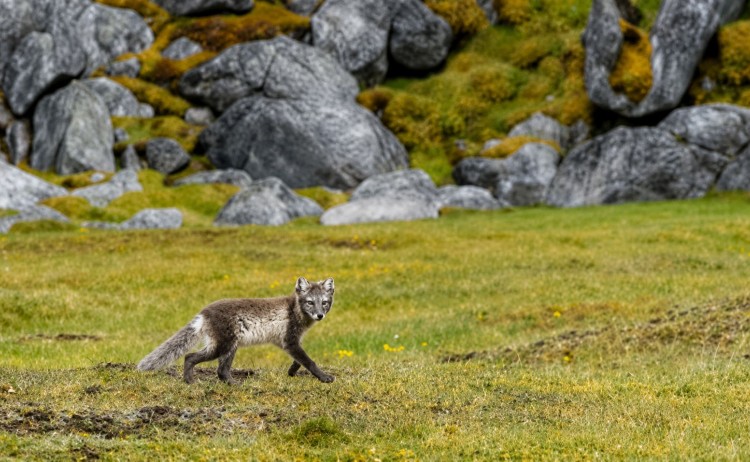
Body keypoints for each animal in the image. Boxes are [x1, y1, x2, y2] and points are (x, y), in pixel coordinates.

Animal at [137, 277, 335, 384]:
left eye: (324, 303)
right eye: (310, 302)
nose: (320, 315)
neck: (294, 310)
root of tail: (204, 312)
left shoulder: (289, 342)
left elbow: (299, 361)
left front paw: (292, 372)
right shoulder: (289, 341)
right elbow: (309, 362)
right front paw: (325, 378)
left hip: (227, 346)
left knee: (218, 370)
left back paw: (230, 384)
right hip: (223, 346)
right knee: (193, 358)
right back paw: (193, 381)